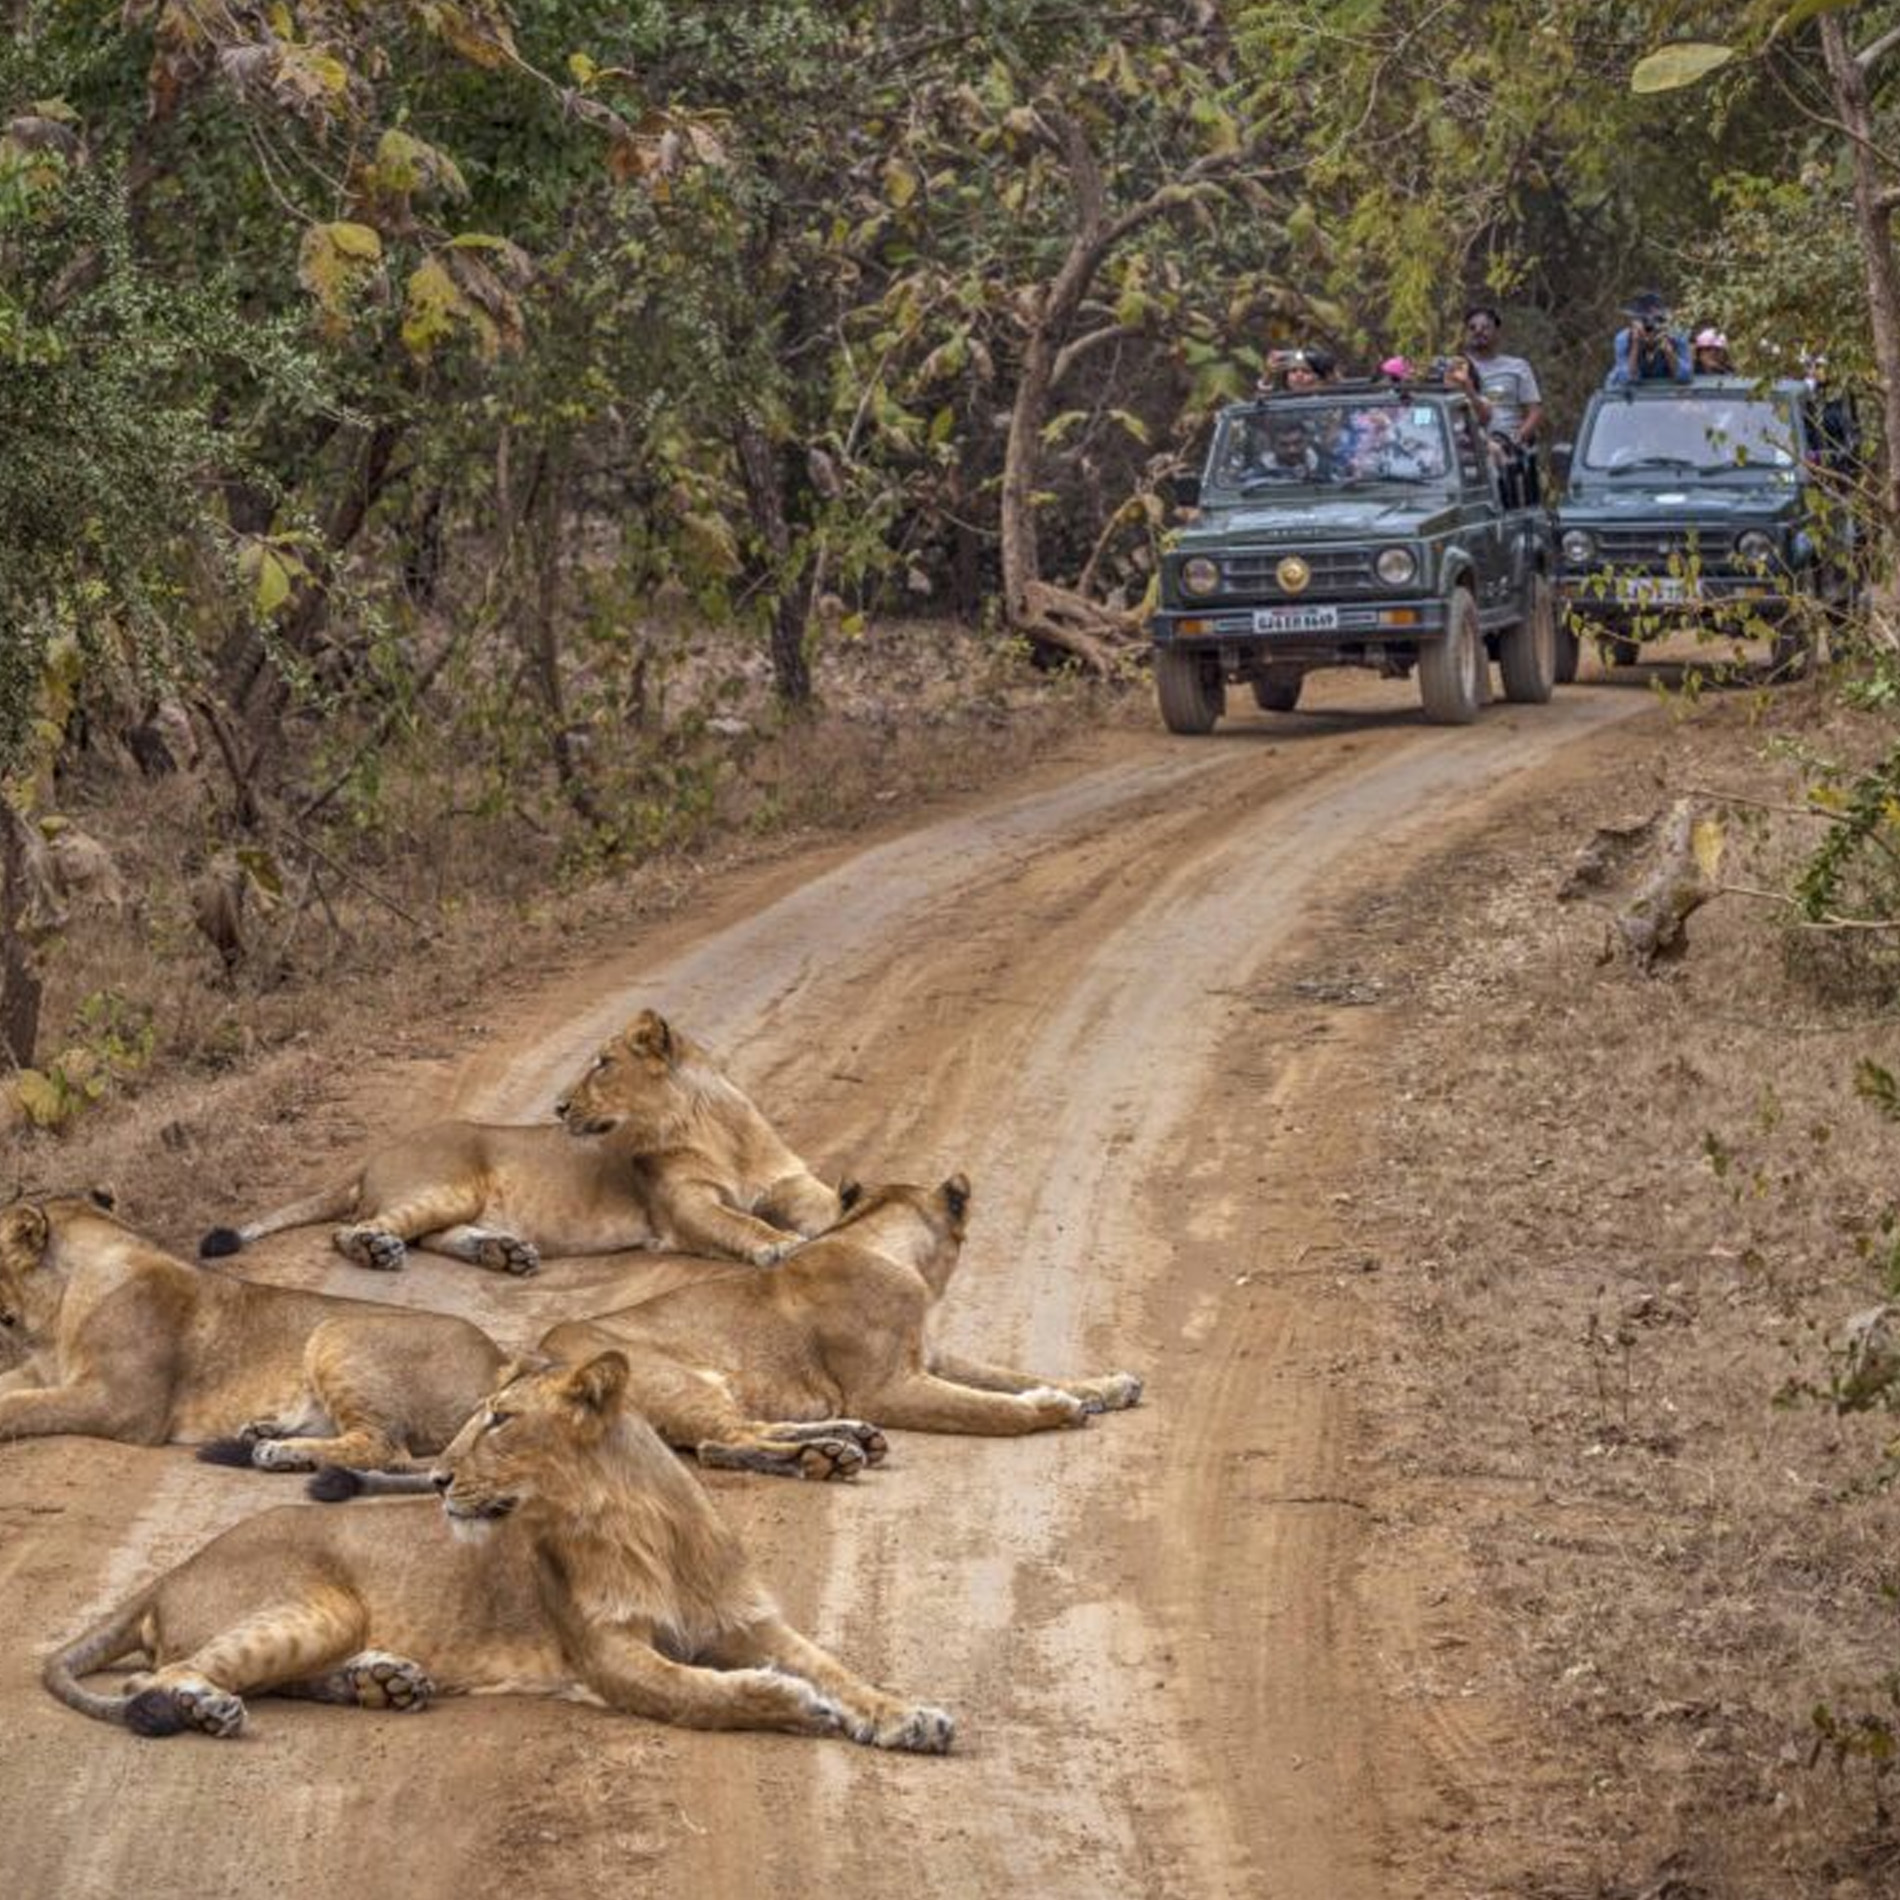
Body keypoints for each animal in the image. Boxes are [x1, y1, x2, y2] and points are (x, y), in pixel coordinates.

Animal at [0, 1194, 505, 1475]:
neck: (56, 1315)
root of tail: (502, 1360)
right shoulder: (43, 1373)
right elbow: (17, 1391)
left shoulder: (122, 1405)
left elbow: (25, 1408)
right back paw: (265, 1434)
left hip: (335, 1331)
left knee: (385, 1447)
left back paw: (277, 1452)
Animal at [43, 1351, 954, 1752]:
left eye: (501, 1421)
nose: (439, 1476)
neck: (633, 1524)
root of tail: (171, 1568)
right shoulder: (607, 1657)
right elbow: (709, 1694)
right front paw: (797, 1705)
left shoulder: (750, 1620)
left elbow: (841, 1668)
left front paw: (906, 1714)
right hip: (312, 1606)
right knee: (154, 1680)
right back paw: (210, 1709)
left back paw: (382, 1682)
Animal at [198, 1008, 842, 1278]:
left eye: (603, 1063)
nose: (557, 1107)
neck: (712, 1128)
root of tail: (370, 1157)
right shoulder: (683, 1208)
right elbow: (741, 1224)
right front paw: (779, 1246)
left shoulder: (791, 1180)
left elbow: (828, 1203)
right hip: (446, 1186)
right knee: (356, 1230)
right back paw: (379, 1252)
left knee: (431, 1236)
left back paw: (504, 1254)